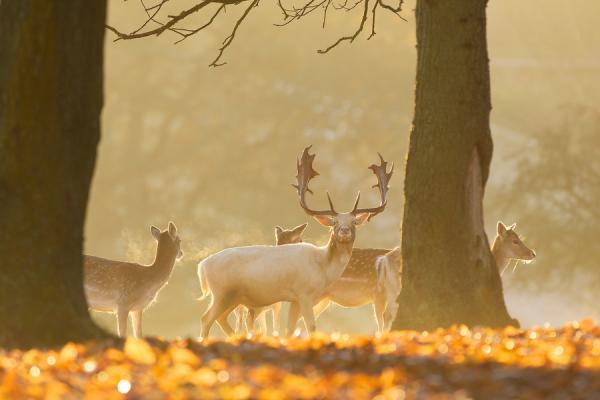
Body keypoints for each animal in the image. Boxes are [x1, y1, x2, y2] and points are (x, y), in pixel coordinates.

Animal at [197, 147, 392, 338]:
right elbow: (311, 327)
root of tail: (202, 266)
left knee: (221, 319)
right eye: (334, 223)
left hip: (234, 297)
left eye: (354, 222)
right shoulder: (304, 293)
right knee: (206, 318)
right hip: (223, 293)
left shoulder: (296, 299)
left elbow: (289, 329)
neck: (323, 267)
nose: (344, 231)